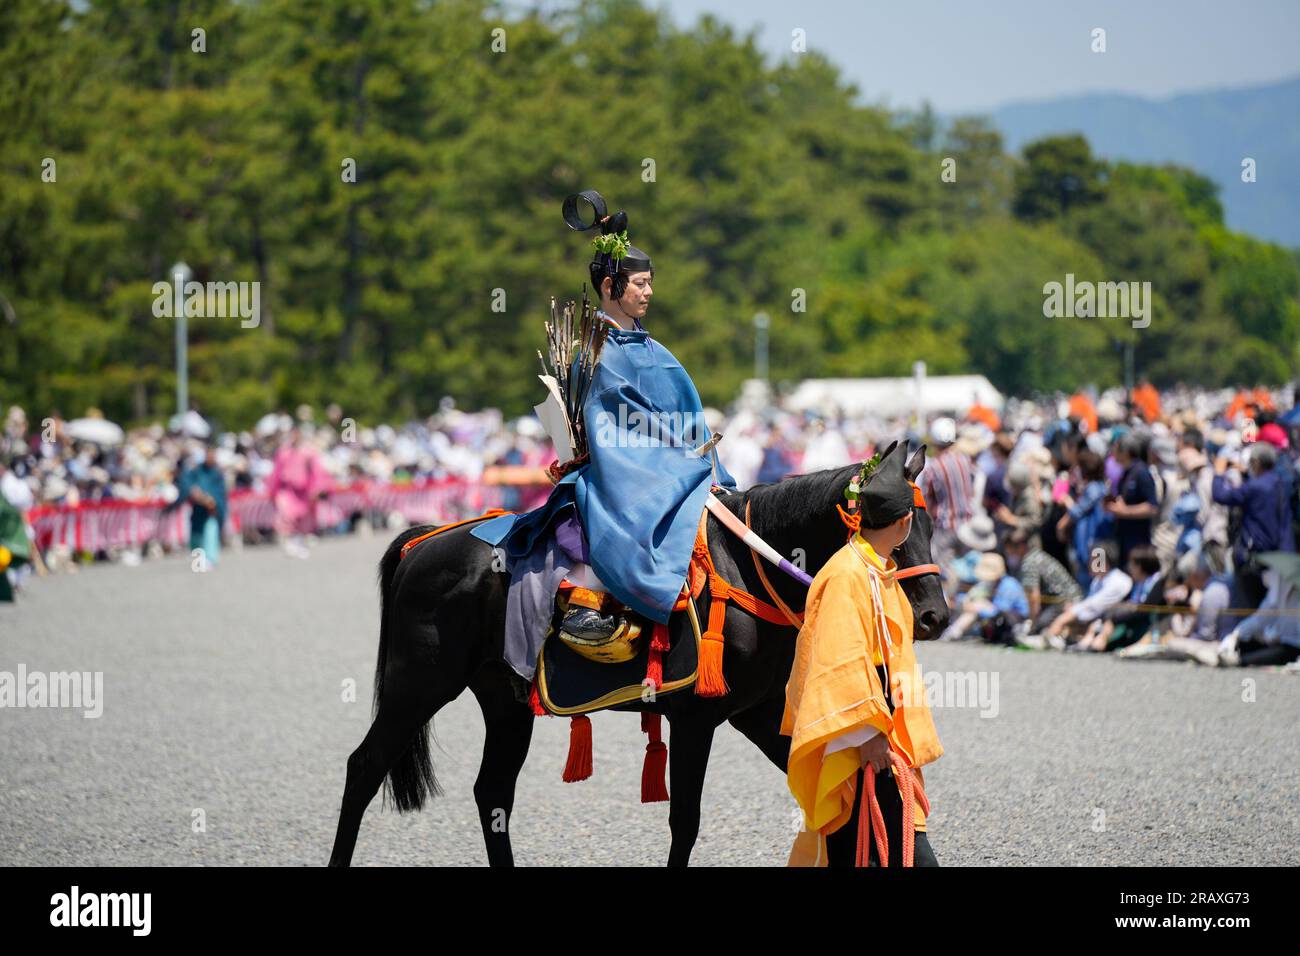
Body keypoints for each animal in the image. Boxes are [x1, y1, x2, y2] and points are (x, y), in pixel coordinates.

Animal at [330, 442, 951, 868]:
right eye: (894, 527)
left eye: (932, 523)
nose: (935, 616)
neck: (747, 567)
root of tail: (425, 540)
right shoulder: (697, 717)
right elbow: (686, 820)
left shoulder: (759, 713)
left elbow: (859, 796)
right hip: (419, 684)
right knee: (364, 768)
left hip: (503, 700)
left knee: (493, 792)